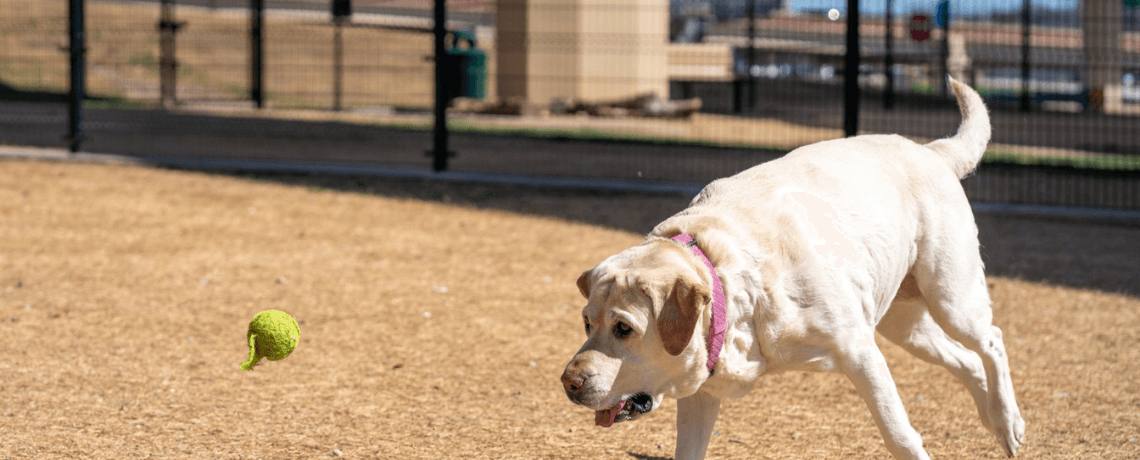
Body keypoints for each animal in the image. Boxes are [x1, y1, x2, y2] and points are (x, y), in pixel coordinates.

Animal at [560, 77, 1026, 459]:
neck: (732, 282)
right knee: (967, 361)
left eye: (624, 329)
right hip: (906, 325)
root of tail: (930, 151)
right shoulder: (701, 396)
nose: (569, 383)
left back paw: (1009, 422)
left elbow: (900, 437)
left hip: (951, 297)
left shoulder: (859, 351)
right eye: (586, 324)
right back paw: (993, 419)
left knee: (992, 341)